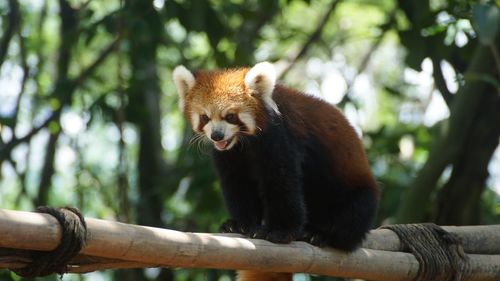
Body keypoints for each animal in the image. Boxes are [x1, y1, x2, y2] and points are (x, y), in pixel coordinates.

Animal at [173, 61, 378, 280]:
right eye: (205, 117)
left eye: (230, 116)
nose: (217, 135)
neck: (244, 142)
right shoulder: (230, 156)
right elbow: (238, 185)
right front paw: (240, 224)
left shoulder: (280, 137)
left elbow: (282, 183)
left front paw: (280, 231)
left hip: (356, 193)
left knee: (353, 217)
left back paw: (320, 233)